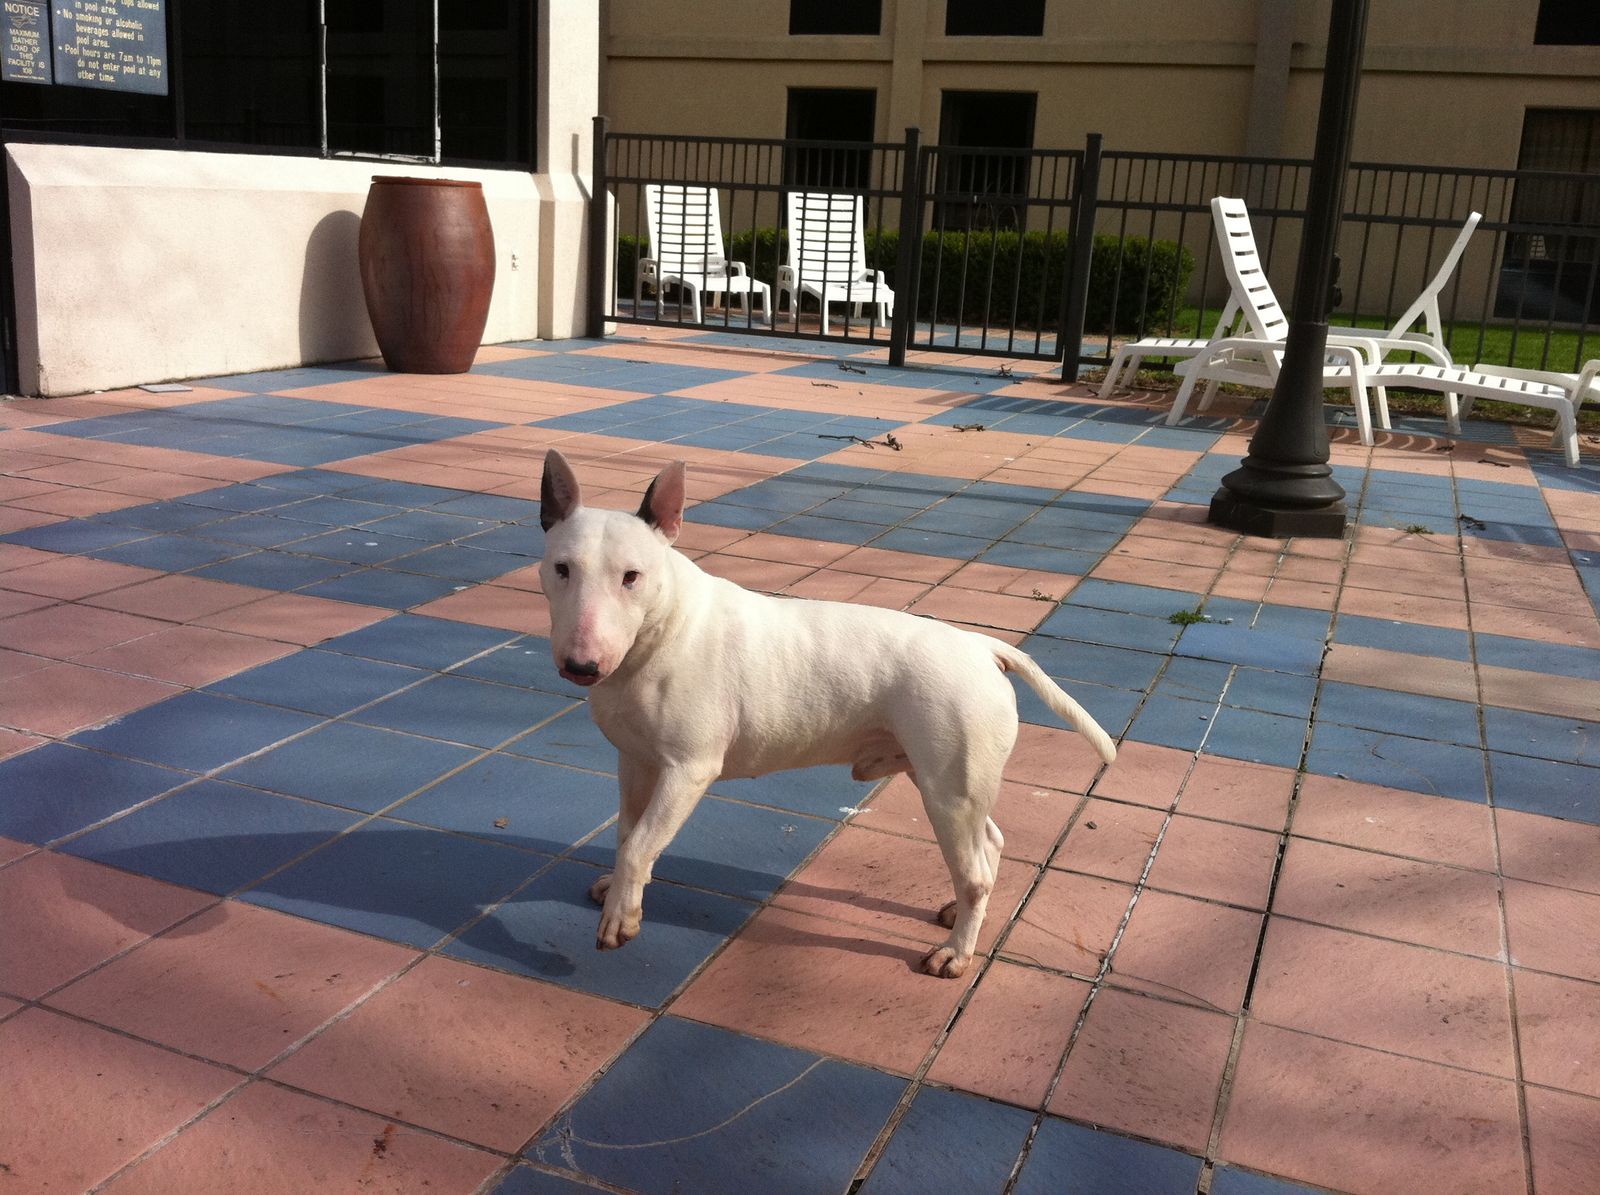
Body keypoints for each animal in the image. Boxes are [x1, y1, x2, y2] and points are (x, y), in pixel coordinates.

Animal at [538, 449, 1116, 978]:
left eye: (631, 577)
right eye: (561, 569)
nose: (581, 665)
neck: (661, 629)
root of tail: (983, 647)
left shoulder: (688, 769)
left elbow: (641, 844)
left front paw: (621, 920)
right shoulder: (636, 762)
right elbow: (628, 832)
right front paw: (619, 889)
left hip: (950, 789)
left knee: (974, 870)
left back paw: (955, 953)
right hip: (945, 777)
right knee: (988, 842)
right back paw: (959, 914)